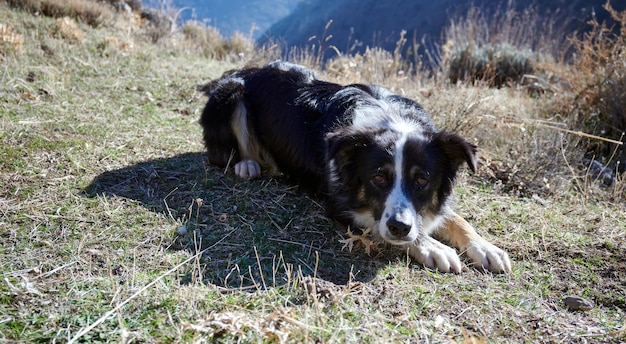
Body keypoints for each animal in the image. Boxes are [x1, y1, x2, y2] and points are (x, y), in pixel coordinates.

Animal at [197, 60, 510, 272]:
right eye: (378, 178)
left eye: (422, 180)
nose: (399, 228)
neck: (391, 120)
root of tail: (243, 71)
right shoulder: (340, 202)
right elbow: (379, 223)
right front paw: (431, 245)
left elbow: (456, 219)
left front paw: (485, 247)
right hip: (232, 94)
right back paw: (247, 164)